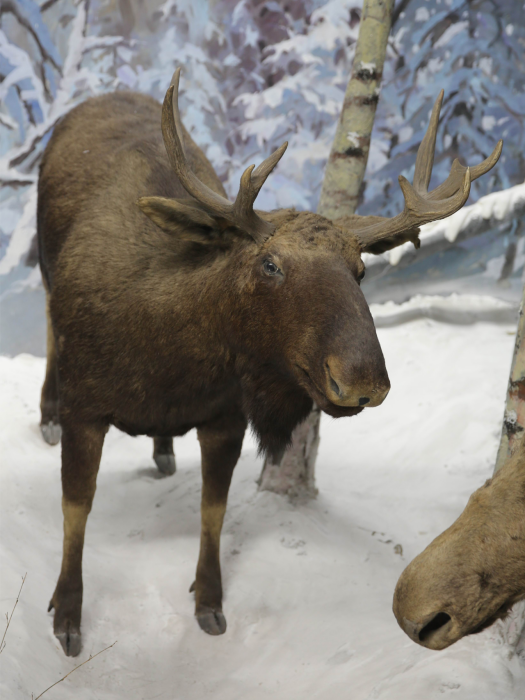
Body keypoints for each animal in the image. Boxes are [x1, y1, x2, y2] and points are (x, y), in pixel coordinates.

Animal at [37, 68, 502, 656]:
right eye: (270, 264)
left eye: (360, 270)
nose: (362, 379)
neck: (168, 367)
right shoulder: (85, 409)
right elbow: (75, 513)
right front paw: (66, 615)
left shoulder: (225, 419)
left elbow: (213, 511)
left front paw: (209, 602)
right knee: (46, 328)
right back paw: (46, 415)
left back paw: (163, 449)